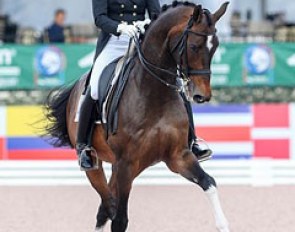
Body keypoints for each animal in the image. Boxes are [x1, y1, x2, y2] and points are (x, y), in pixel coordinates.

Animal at [45, 2, 232, 232]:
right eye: (194, 46)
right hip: (100, 165)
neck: (153, 92)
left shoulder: (179, 156)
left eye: (215, 47)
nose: (202, 96)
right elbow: (119, 219)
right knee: (106, 202)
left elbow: (209, 183)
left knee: (105, 206)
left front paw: (223, 224)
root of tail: (77, 86)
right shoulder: (126, 163)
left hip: (126, 166)